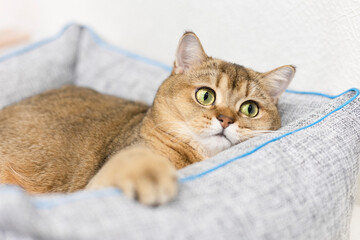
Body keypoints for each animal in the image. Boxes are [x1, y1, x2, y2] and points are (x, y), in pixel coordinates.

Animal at [0, 31, 294, 204]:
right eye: (206, 95)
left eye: (250, 109)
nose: (225, 120)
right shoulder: (92, 187)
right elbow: (133, 159)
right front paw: (148, 172)